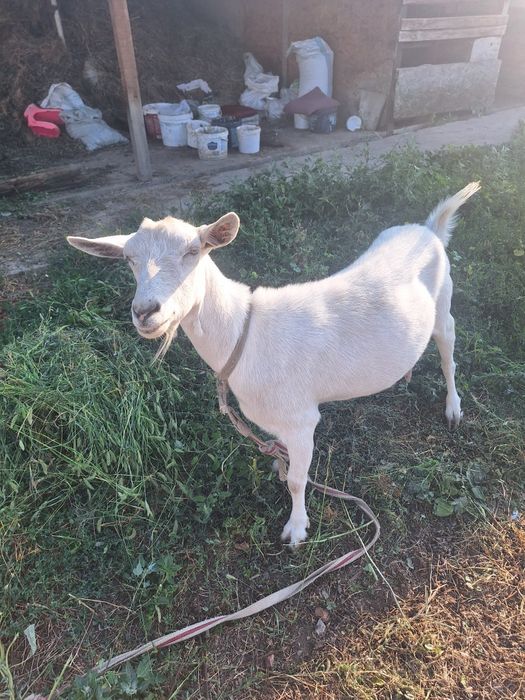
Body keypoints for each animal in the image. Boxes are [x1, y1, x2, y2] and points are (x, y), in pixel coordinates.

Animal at [67, 182, 479, 546]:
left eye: (193, 250)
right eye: (128, 258)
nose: (145, 312)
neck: (245, 334)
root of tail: (429, 230)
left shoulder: (302, 418)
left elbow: (298, 480)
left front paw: (296, 529)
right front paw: (278, 467)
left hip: (444, 302)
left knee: (448, 351)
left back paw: (453, 409)